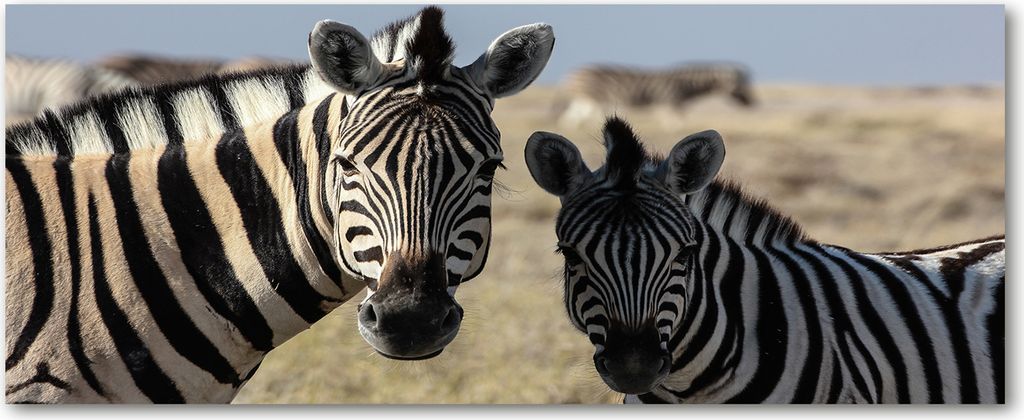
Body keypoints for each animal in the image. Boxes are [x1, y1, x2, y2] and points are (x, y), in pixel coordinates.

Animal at [558, 63, 754, 127]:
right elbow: (674, 123)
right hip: (591, 98)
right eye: (742, 86)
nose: (753, 104)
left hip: (585, 99)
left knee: (574, 115)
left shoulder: (671, 104)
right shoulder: (669, 102)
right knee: (583, 115)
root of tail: (574, 73)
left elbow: (674, 121)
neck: (687, 84)